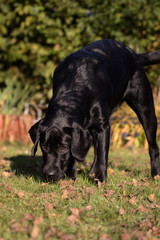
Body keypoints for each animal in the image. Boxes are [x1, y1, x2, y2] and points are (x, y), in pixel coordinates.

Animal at [29, 39, 160, 182]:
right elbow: (79, 153)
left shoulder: (102, 127)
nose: (49, 174)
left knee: (153, 147)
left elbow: (102, 156)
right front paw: (71, 178)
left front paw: (100, 180)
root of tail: (133, 53)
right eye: (44, 146)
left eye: (63, 147)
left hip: (146, 110)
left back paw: (155, 174)